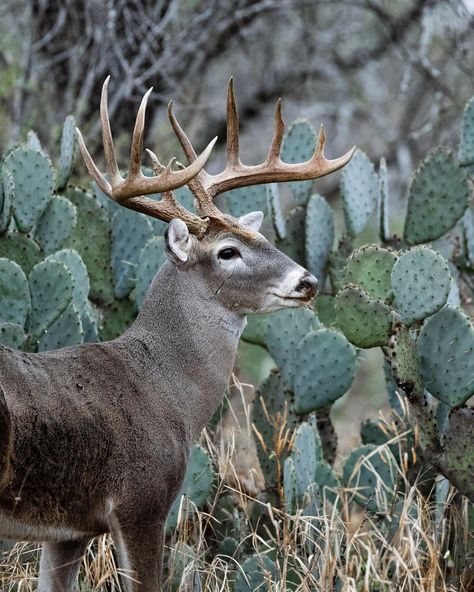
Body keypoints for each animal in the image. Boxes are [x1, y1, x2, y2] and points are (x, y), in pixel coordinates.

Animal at [0, 78, 352, 592]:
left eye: (263, 239)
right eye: (227, 252)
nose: (306, 281)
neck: (165, 391)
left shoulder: (68, 529)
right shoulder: (142, 501)